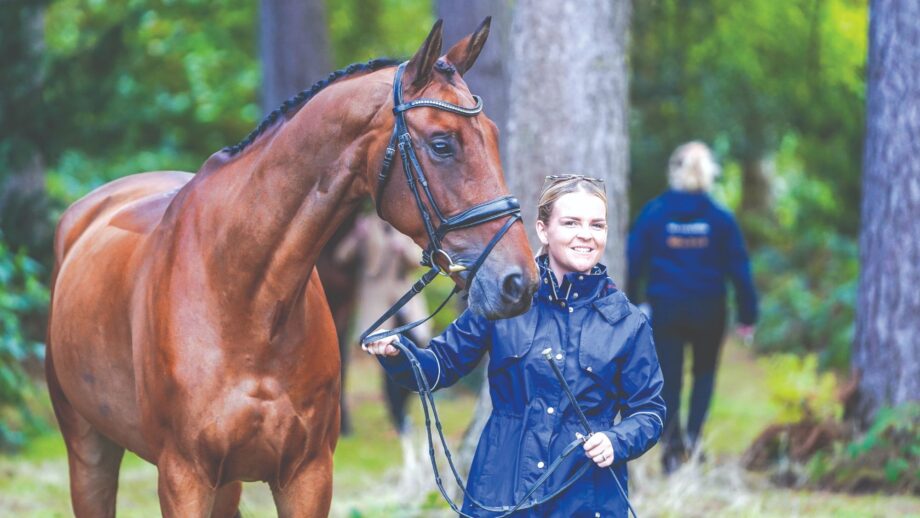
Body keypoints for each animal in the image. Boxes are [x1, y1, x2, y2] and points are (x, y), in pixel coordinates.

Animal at [46, 18, 538, 517]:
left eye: (493, 136)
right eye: (442, 144)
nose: (518, 281)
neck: (245, 300)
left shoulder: (307, 475)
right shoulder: (183, 477)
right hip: (90, 452)